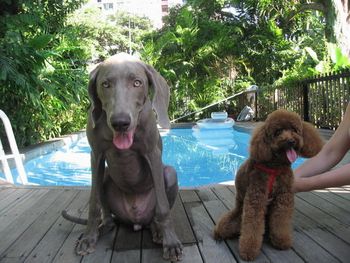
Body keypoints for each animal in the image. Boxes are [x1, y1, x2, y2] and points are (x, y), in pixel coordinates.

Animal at [62, 52, 183, 260]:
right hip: (105, 177)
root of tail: (135, 221)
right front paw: (88, 237)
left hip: (170, 173)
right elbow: (93, 204)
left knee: (156, 212)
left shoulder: (152, 153)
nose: (120, 122)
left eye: (137, 83)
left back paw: (157, 230)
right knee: (107, 216)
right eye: (105, 84)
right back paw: (103, 228)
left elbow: (163, 207)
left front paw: (171, 242)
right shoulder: (96, 155)